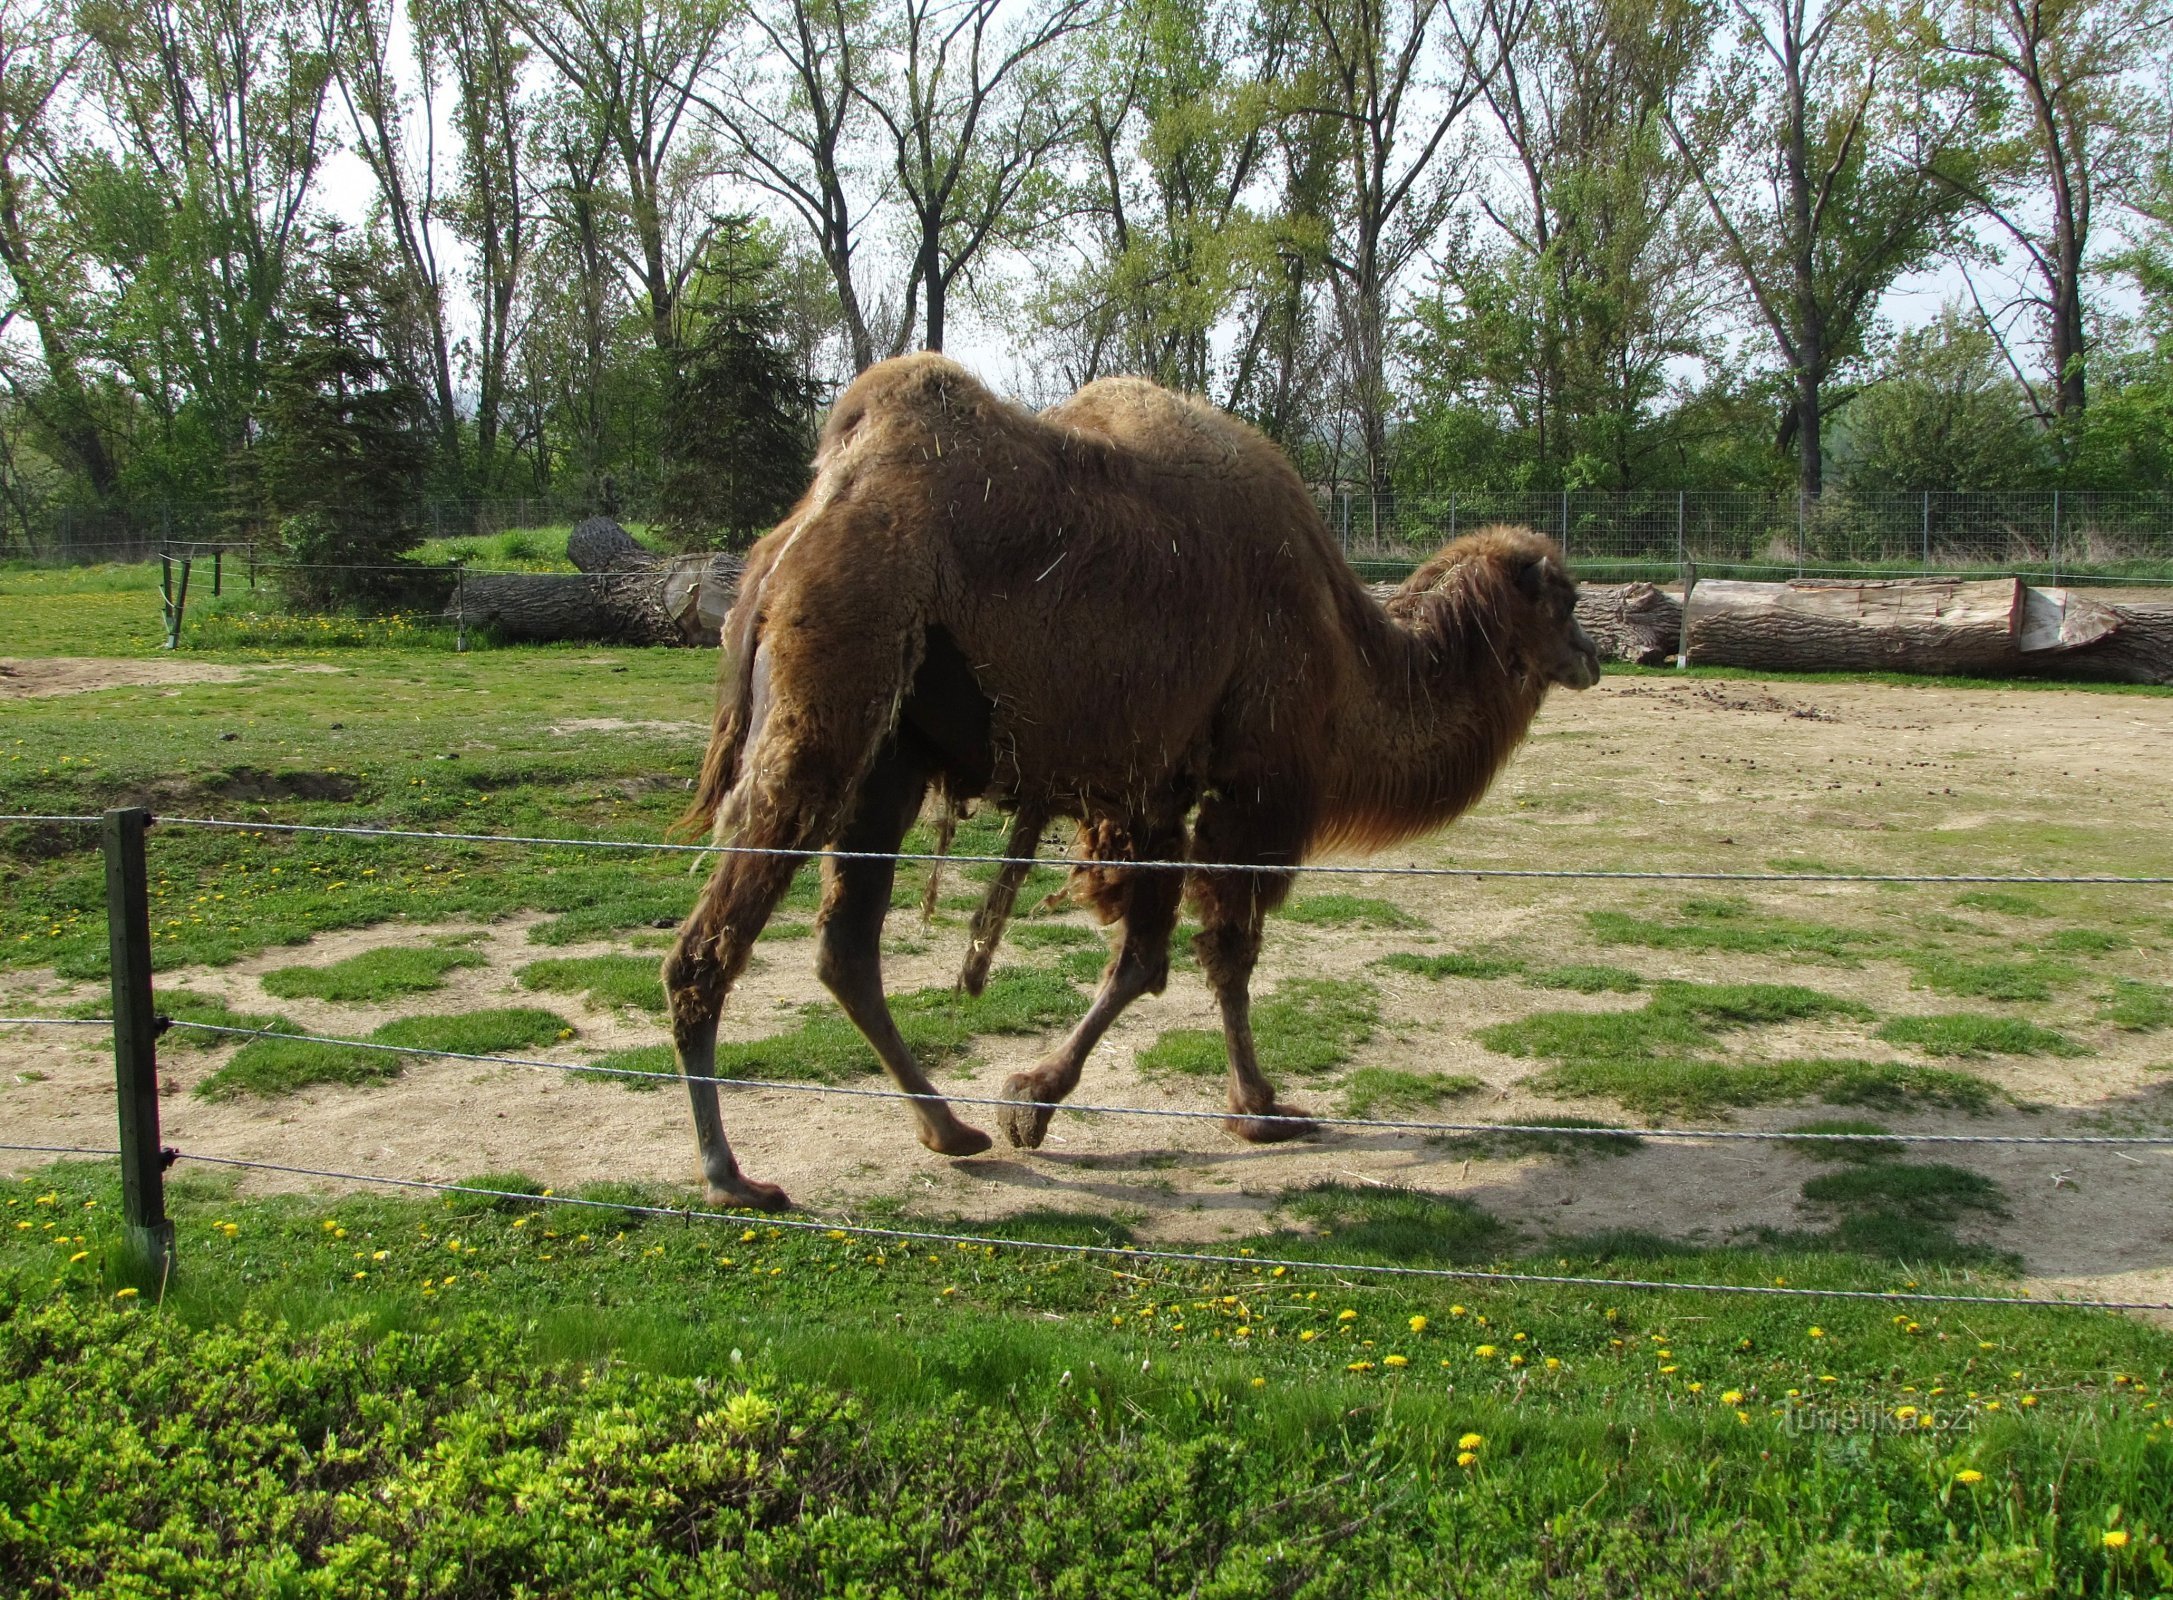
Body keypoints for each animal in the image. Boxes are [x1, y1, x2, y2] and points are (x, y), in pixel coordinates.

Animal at [660, 356, 1599, 1208]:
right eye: (1563, 599)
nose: (1592, 657)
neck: (1350, 652)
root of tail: (787, 545)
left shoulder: (1155, 791)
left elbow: (1147, 955)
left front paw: (1029, 1103)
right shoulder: (1250, 786)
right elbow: (1217, 950)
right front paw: (1251, 1109)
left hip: (893, 750)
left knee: (846, 945)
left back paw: (947, 1129)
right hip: (832, 689)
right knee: (710, 943)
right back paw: (729, 1175)